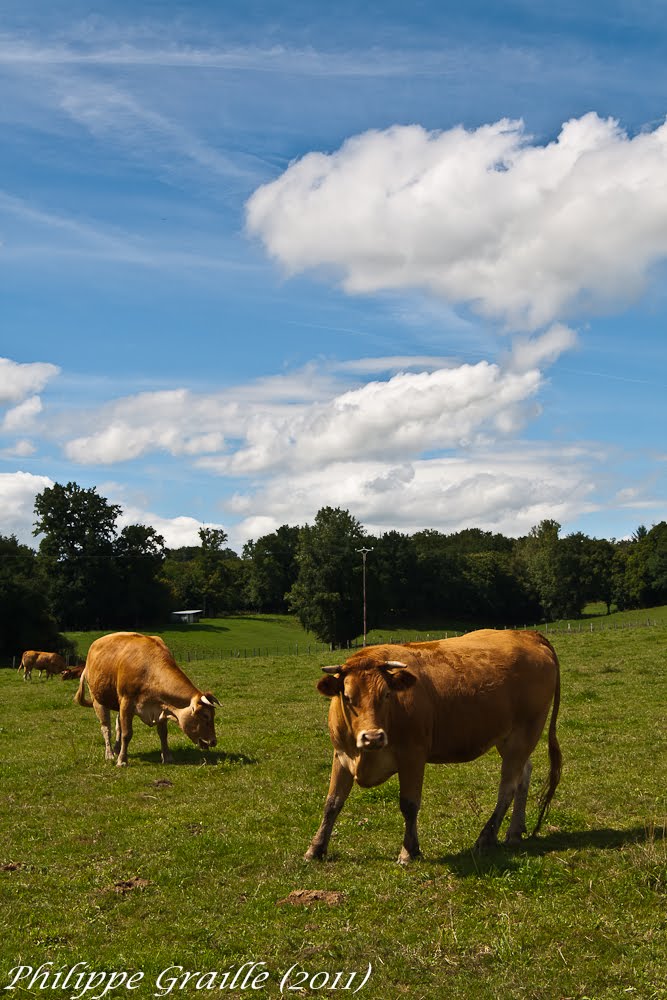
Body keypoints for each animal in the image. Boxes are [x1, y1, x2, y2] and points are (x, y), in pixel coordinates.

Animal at [73, 632, 220, 764]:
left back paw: (116, 749)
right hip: (98, 700)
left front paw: (167, 757)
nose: (213, 741)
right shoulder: (127, 703)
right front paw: (122, 760)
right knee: (106, 728)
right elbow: (127, 734)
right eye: (205, 715)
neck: (148, 669)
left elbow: (163, 733)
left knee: (117, 725)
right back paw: (109, 754)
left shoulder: (162, 705)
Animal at [308, 628, 564, 864]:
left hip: (524, 733)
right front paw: (316, 848)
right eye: (348, 697)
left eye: (387, 694)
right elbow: (332, 803)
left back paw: (486, 837)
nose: (372, 737)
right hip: (510, 738)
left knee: (508, 787)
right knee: (524, 775)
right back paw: (514, 832)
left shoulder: (413, 756)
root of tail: (526, 634)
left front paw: (409, 851)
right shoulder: (341, 756)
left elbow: (409, 804)